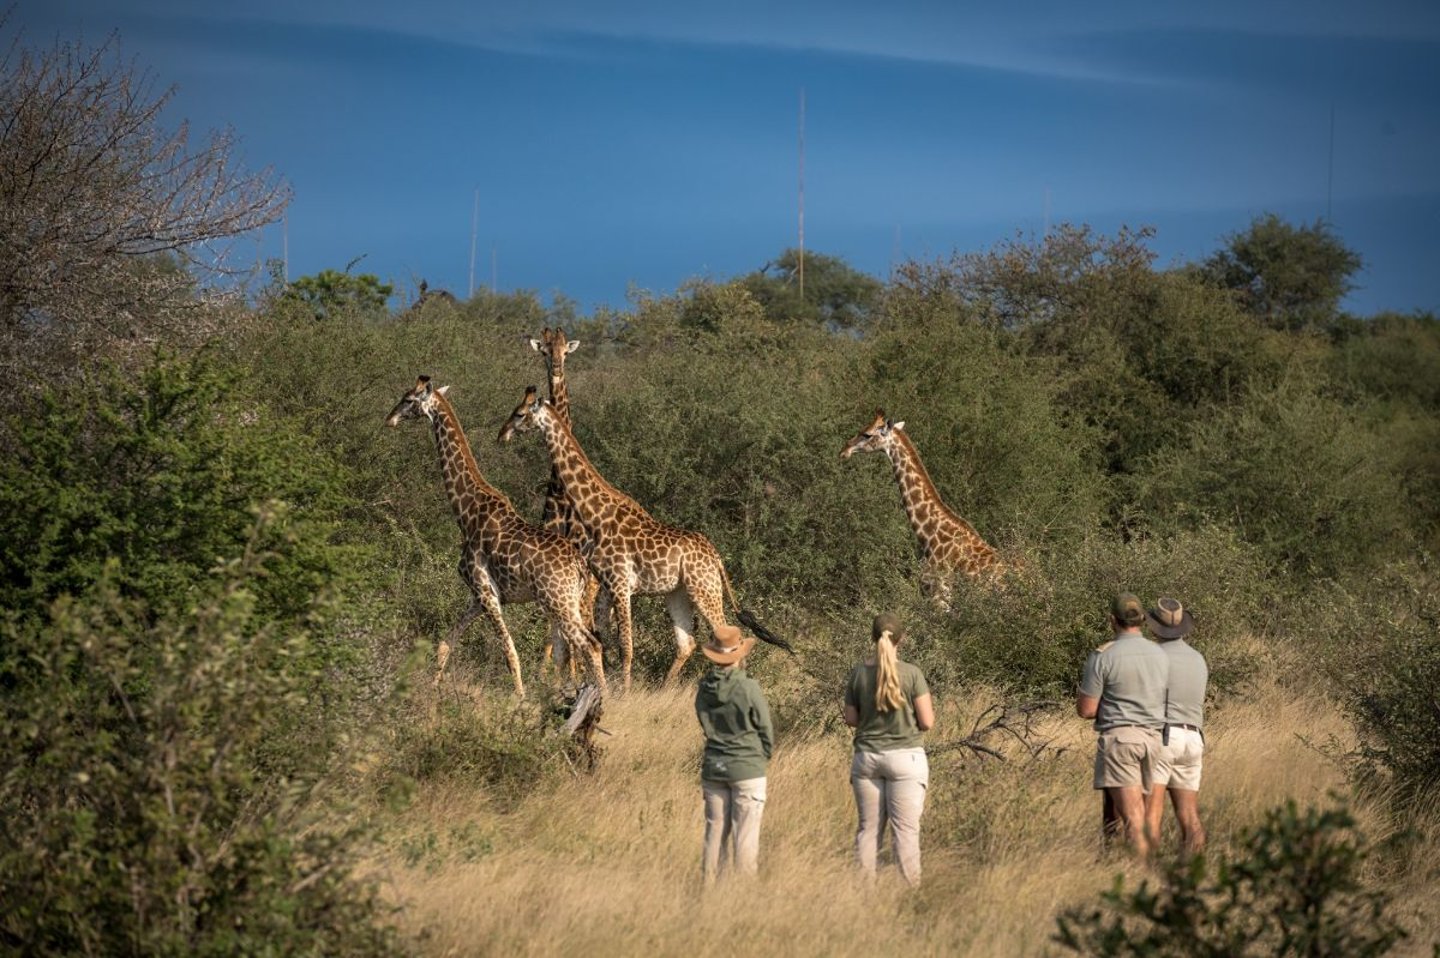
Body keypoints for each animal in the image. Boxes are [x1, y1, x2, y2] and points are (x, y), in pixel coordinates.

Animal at [385, 374, 604, 694]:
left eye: (409, 399)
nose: (389, 419)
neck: (466, 511)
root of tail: (579, 566)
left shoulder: (486, 591)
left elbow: (509, 651)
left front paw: (519, 699)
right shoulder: (479, 596)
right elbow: (445, 643)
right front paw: (433, 688)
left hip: (558, 601)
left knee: (589, 645)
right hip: (567, 602)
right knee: (574, 648)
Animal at [495, 386, 789, 682]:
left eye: (519, 413)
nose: (501, 434)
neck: (595, 515)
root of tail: (716, 556)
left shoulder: (621, 584)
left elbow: (626, 646)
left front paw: (623, 689)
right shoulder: (606, 586)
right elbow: (603, 639)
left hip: (705, 589)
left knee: (729, 643)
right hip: (678, 593)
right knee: (687, 643)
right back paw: (665, 687)